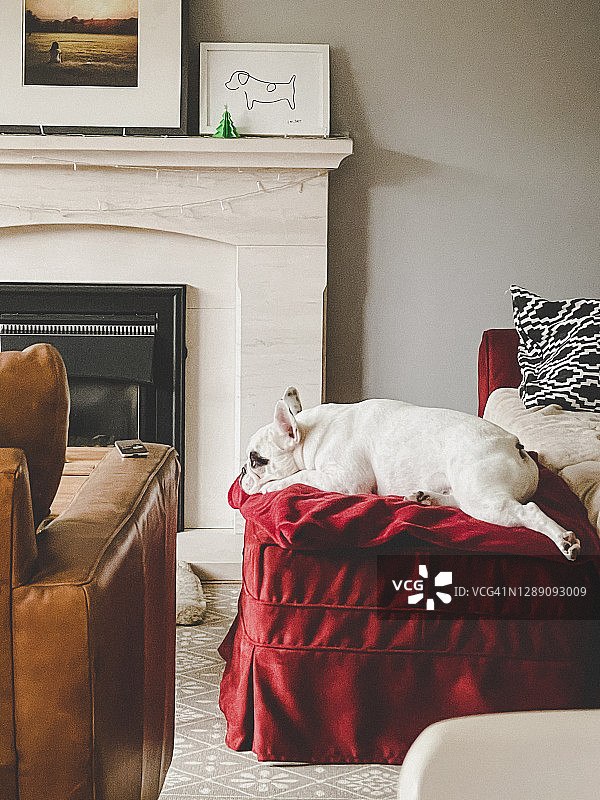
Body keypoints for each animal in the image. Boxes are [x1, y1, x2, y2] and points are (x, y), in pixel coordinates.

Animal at [240, 387, 581, 561]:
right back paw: (425, 497)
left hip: (486, 499)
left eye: (257, 460)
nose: (242, 470)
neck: (310, 434)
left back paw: (563, 539)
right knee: (460, 502)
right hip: (473, 493)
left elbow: (302, 476)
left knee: (528, 511)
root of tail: (515, 445)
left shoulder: (345, 480)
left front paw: (270, 487)